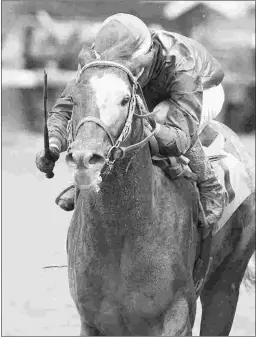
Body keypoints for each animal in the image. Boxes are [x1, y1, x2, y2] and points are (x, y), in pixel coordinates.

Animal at [64, 49, 254, 334]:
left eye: (125, 100)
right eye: (74, 99)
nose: (84, 158)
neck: (121, 233)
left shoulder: (176, 315)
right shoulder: (92, 322)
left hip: (227, 280)